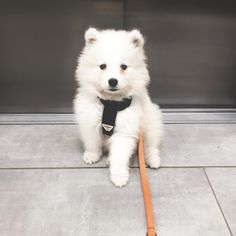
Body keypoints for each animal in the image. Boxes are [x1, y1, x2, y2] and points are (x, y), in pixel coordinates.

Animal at [74, 28, 163, 186]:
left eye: (124, 67)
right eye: (102, 66)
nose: (113, 81)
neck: (110, 104)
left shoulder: (125, 130)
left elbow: (120, 156)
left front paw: (119, 176)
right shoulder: (89, 121)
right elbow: (92, 142)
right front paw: (92, 155)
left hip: (151, 123)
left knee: (150, 146)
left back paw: (153, 160)